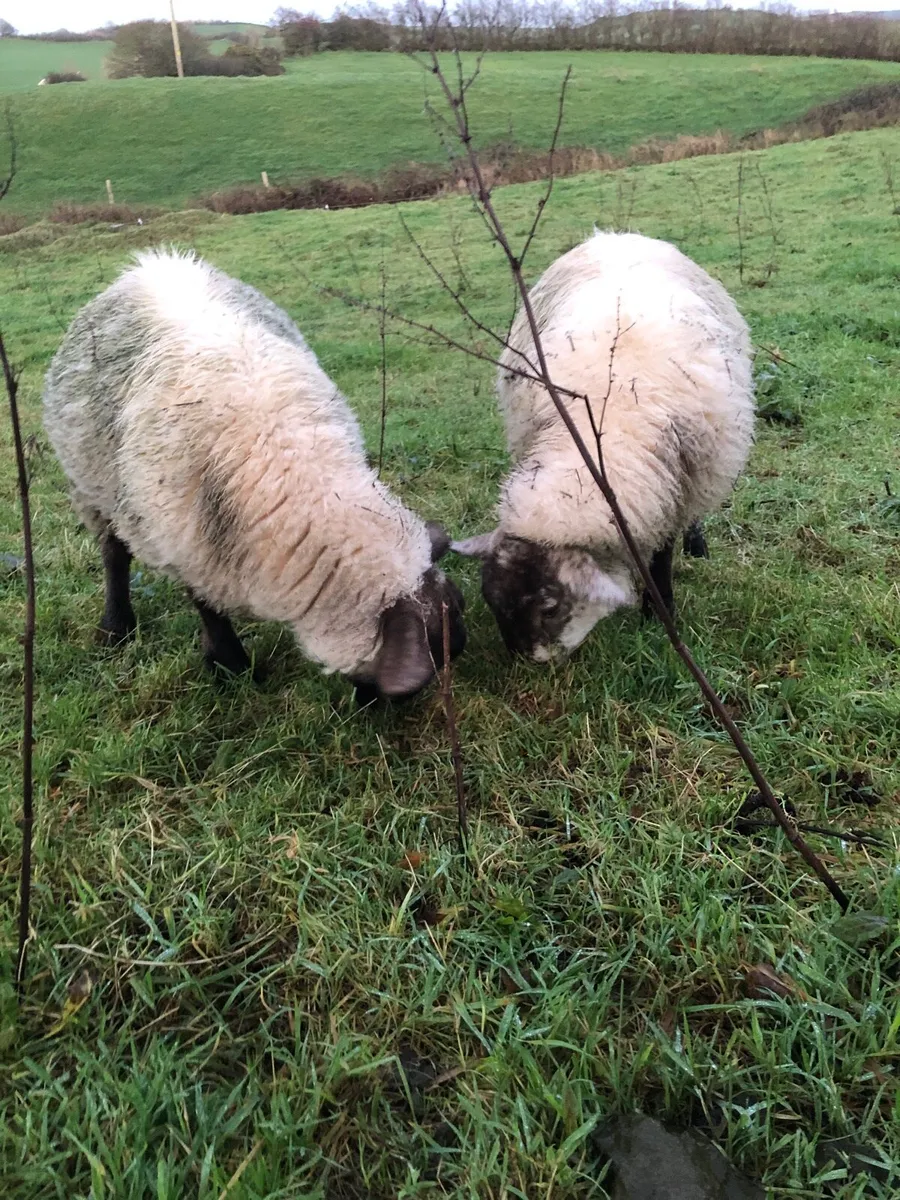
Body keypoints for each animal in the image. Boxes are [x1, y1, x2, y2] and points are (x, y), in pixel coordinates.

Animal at [43, 248, 466, 701]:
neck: (291, 464)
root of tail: (148, 263)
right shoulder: (186, 546)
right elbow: (207, 607)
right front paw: (230, 666)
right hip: (91, 489)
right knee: (113, 555)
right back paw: (116, 628)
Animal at [453, 230, 754, 662]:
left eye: (550, 607)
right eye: (491, 600)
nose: (528, 663)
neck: (608, 425)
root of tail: (615, 234)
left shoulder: (674, 486)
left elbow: (661, 556)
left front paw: (657, 613)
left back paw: (697, 544)